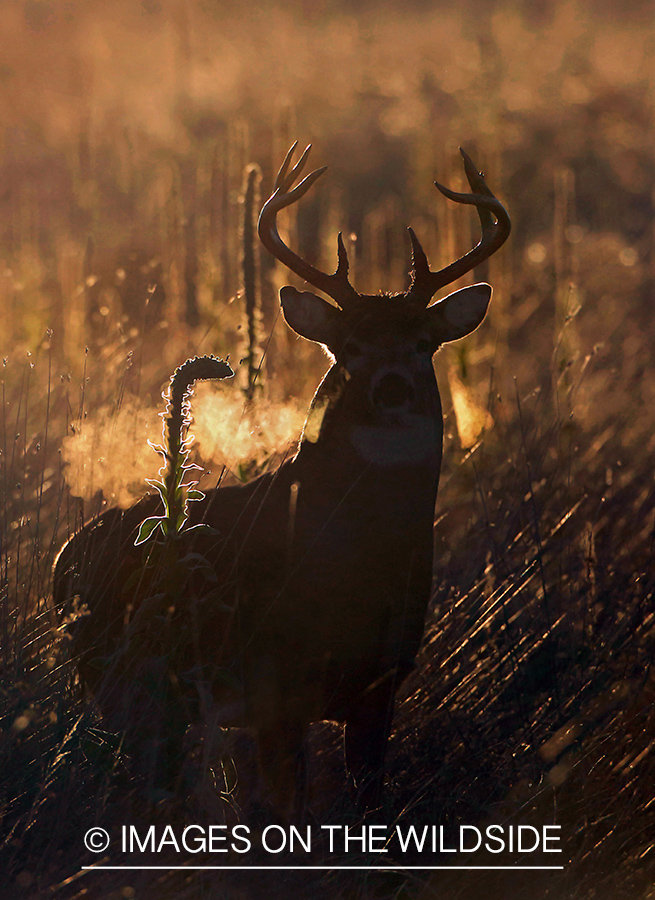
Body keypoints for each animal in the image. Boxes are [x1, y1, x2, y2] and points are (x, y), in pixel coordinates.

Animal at [53, 142, 510, 816]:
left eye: (424, 342)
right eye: (348, 345)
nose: (392, 388)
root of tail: (62, 562)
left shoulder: (382, 684)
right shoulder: (275, 686)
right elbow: (285, 812)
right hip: (125, 680)